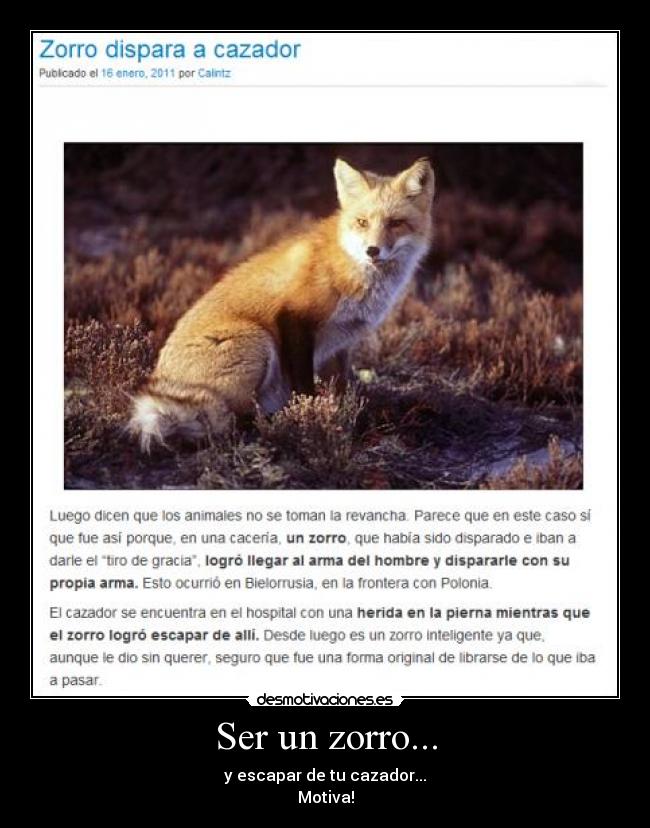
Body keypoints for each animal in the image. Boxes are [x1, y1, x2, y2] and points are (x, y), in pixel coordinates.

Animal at [129, 156, 435, 451]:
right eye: (362, 222)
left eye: (395, 223)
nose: (372, 250)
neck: (349, 266)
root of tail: (164, 383)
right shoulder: (295, 319)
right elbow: (305, 387)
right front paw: (312, 419)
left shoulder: (340, 341)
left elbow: (341, 389)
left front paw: (347, 422)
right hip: (258, 340)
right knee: (233, 419)